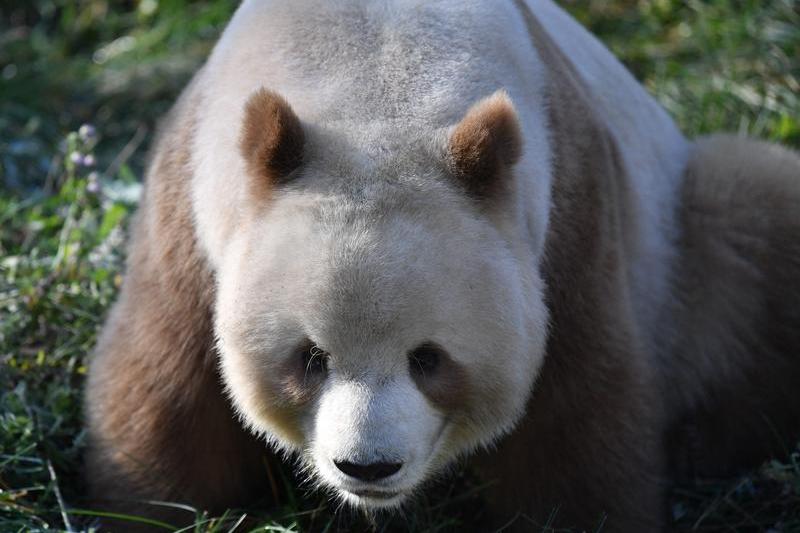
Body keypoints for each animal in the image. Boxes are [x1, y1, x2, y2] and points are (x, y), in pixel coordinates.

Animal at [83, 0, 800, 528]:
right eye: (310, 357)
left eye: (428, 357)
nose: (368, 468)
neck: (376, 78)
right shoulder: (191, 207)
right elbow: (168, 393)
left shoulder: (566, 217)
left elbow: (577, 414)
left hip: (683, 249)